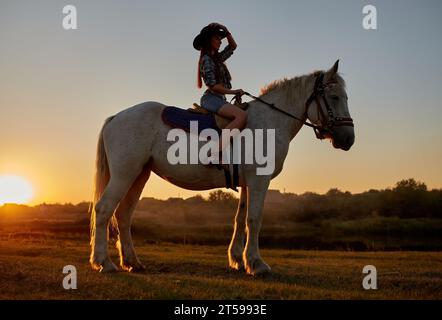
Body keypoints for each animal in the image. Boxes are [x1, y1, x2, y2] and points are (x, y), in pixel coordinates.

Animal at [90, 60, 356, 276]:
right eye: (334, 97)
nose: (348, 139)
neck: (269, 123)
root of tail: (116, 117)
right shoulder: (259, 181)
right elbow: (254, 219)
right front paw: (257, 264)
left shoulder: (248, 183)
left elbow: (240, 219)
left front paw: (238, 260)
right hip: (124, 175)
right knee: (104, 210)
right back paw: (104, 263)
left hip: (139, 175)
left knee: (123, 215)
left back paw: (132, 262)